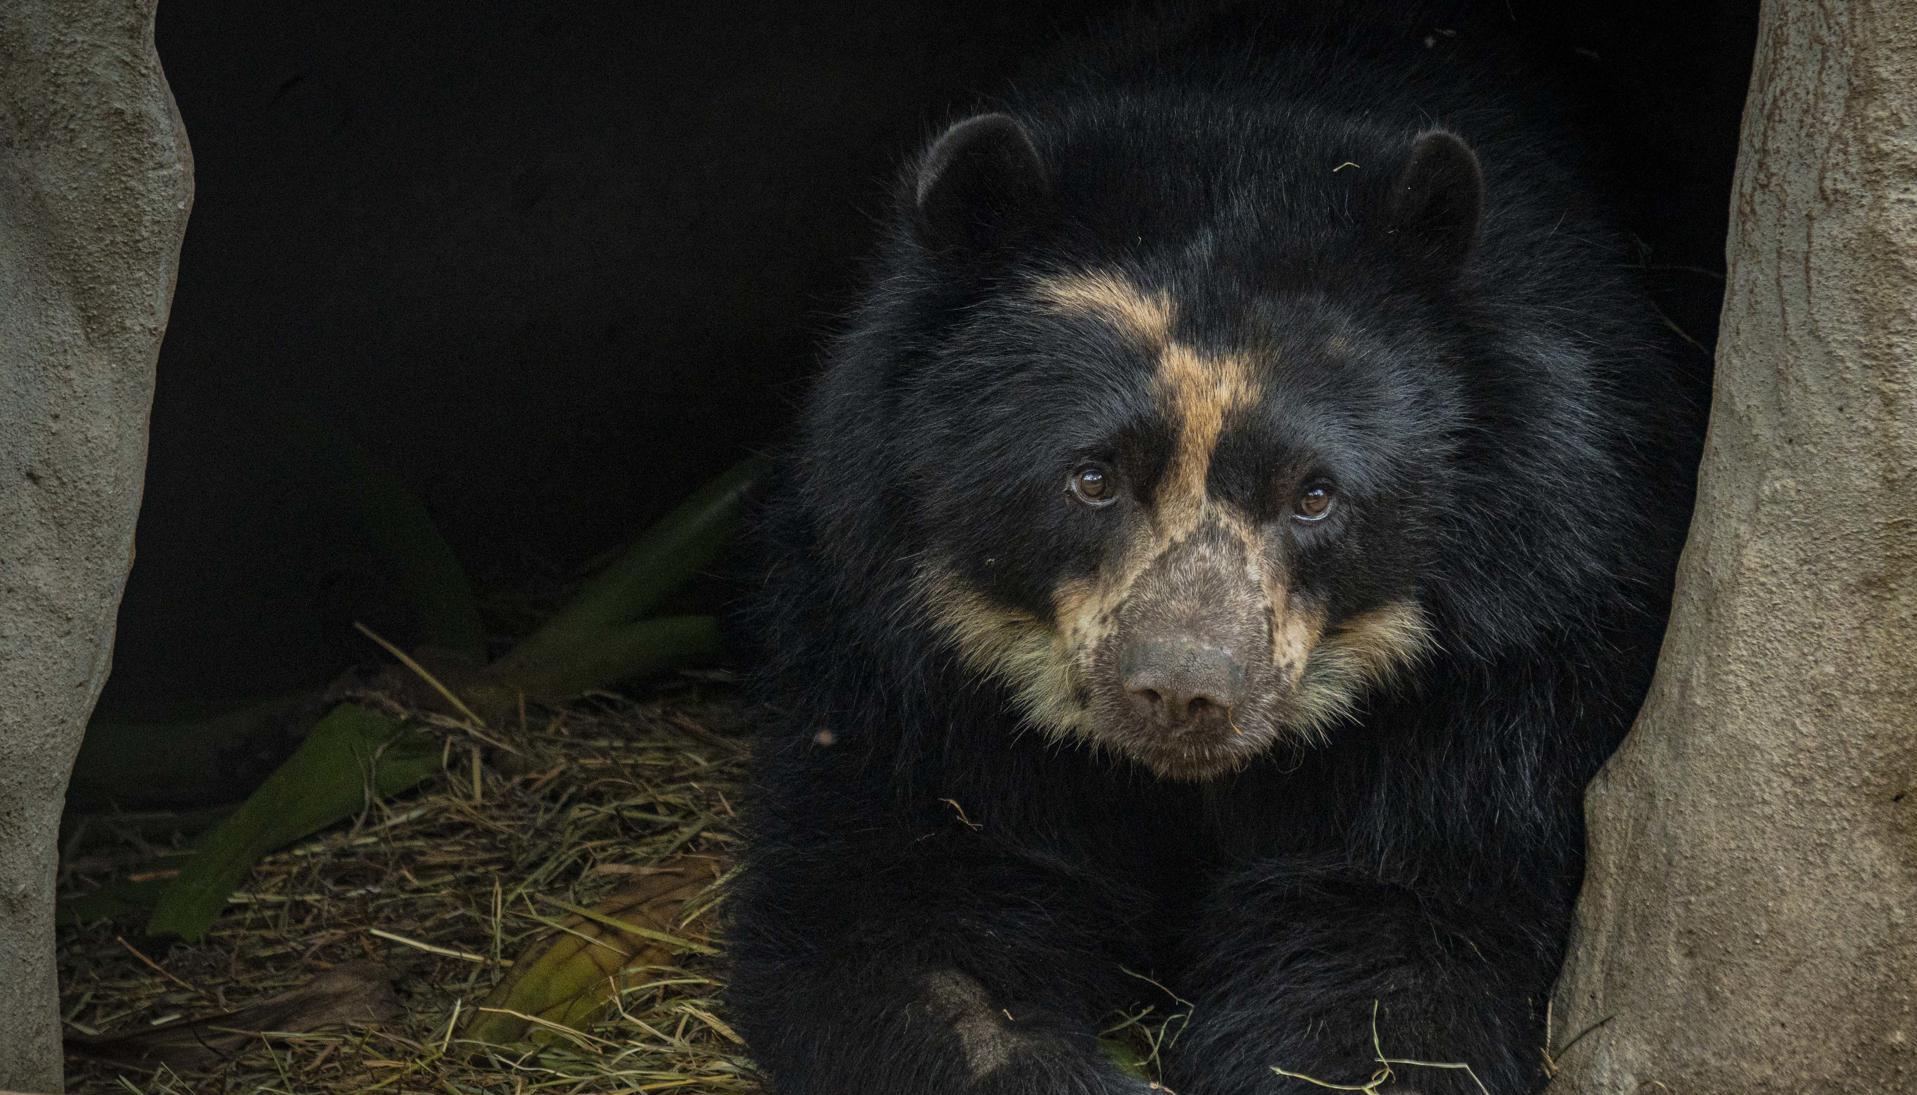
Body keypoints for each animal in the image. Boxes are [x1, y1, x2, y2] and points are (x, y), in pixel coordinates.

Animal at [726, 3, 1698, 1093]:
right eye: (1092, 476)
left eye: (1314, 495)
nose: (1186, 695)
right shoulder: (899, 668)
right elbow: (899, 912)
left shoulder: (1505, 679)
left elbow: (1388, 949)